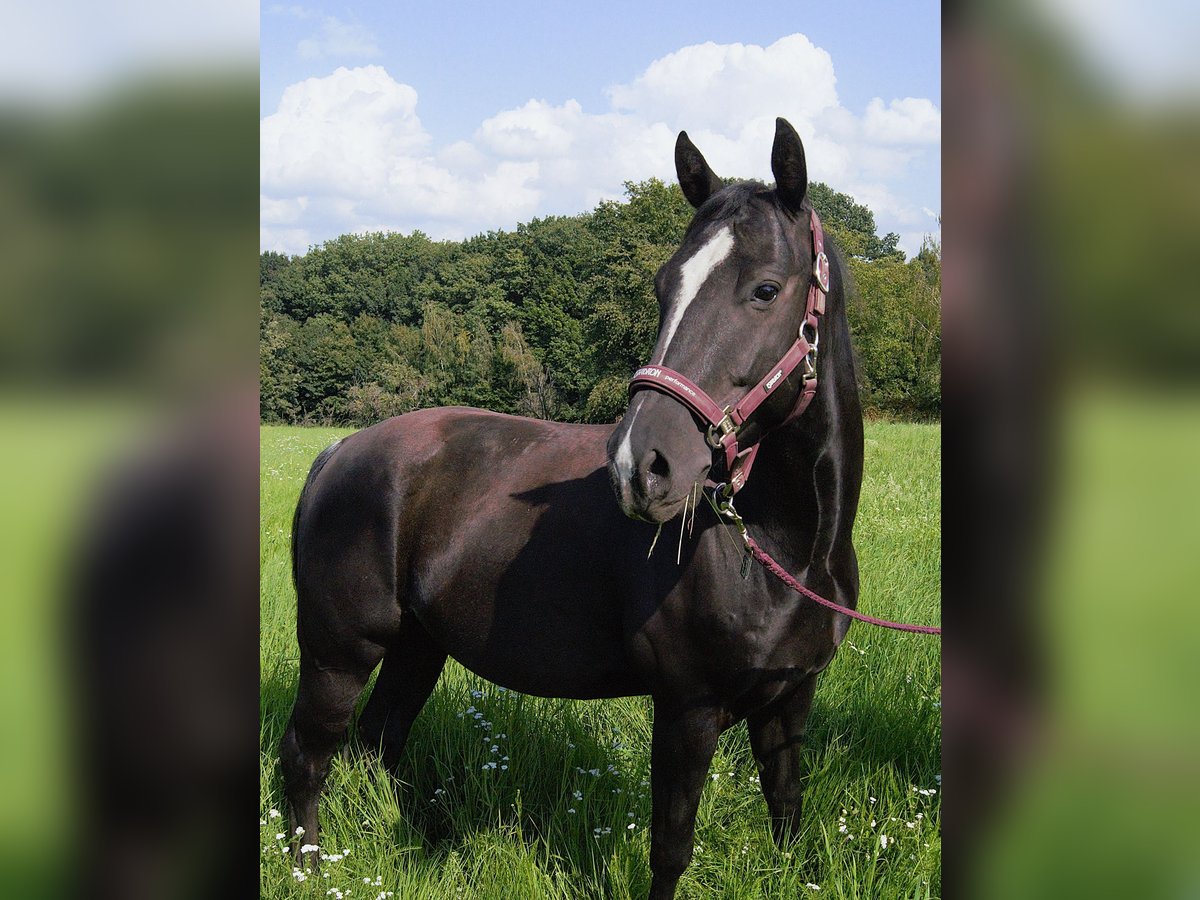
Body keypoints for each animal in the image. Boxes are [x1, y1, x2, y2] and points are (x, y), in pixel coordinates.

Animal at [280, 118, 863, 900]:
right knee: (307, 756)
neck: (782, 548)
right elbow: (671, 848)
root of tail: (339, 452)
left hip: (416, 647)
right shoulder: (687, 710)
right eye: (663, 287)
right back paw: (310, 869)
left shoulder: (789, 701)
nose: (641, 464)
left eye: (766, 289)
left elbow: (787, 813)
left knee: (378, 743)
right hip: (339, 653)